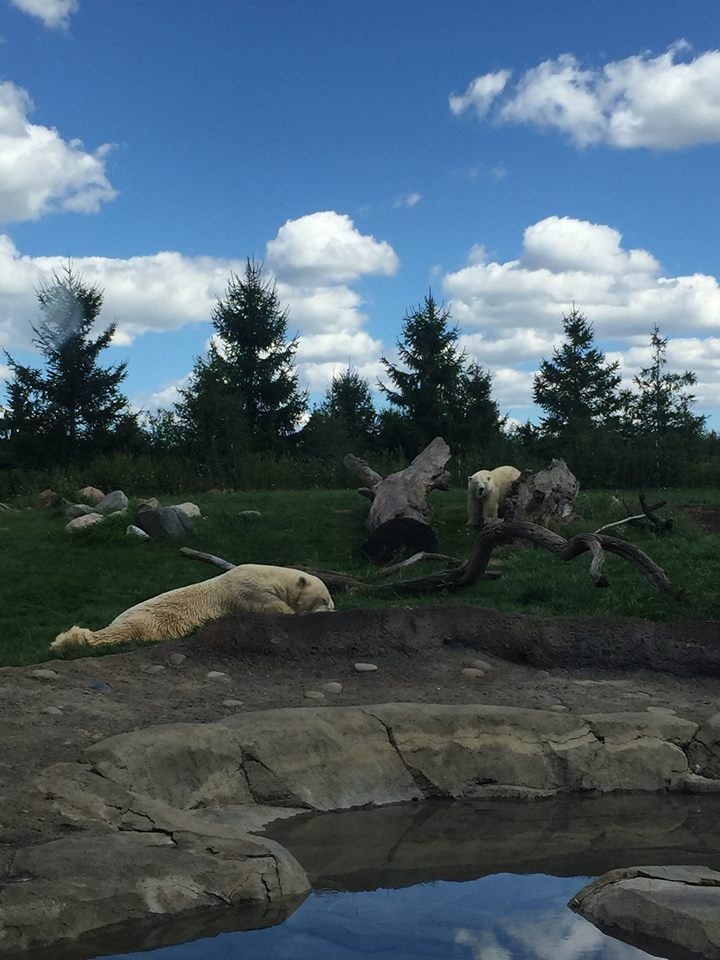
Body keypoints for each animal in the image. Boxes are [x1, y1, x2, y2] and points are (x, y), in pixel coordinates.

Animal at [50, 564, 334, 653]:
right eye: (324, 600)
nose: (332, 613)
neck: (270, 577)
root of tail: (116, 619)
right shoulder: (250, 591)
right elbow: (276, 609)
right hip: (146, 620)